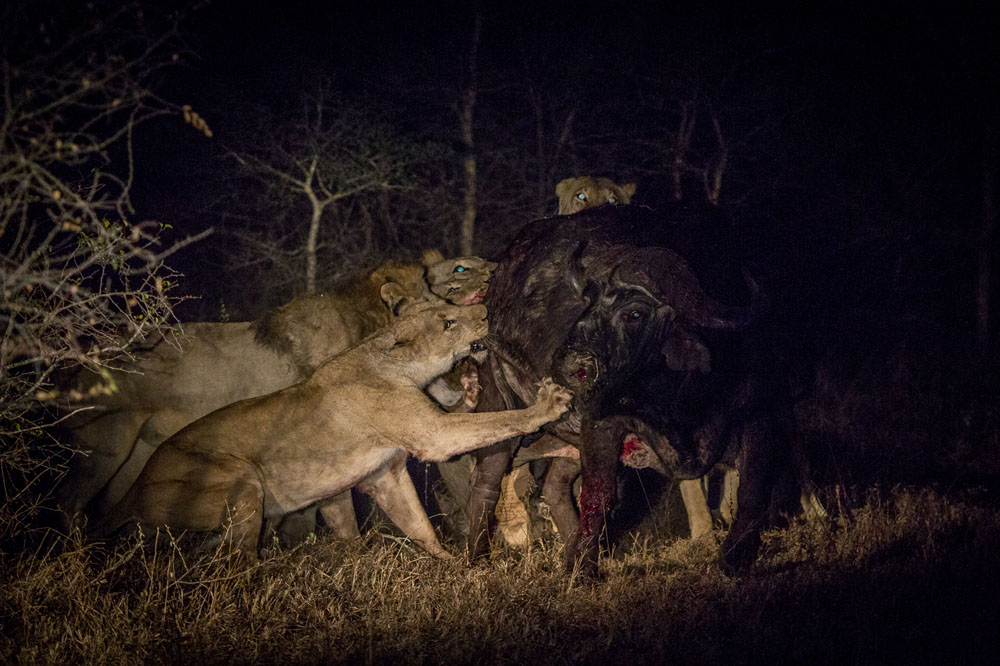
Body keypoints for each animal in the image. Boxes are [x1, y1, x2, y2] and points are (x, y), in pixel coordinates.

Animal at [91, 301, 572, 561]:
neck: (399, 367)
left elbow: (420, 526)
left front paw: (450, 566)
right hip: (240, 483)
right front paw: (544, 405)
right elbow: (491, 422)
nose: (485, 309)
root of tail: (137, 485)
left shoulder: (385, 475)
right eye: (448, 322)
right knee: (234, 563)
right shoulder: (432, 435)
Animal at [465, 204, 792, 575]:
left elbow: (754, 489)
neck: (676, 398)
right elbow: (599, 495)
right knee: (487, 481)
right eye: (588, 304)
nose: (568, 363)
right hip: (498, 405)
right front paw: (583, 570)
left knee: (556, 485)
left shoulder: (759, 412)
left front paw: (736, 558)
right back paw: (477, 558)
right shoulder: (601, 422)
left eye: (634, 313)